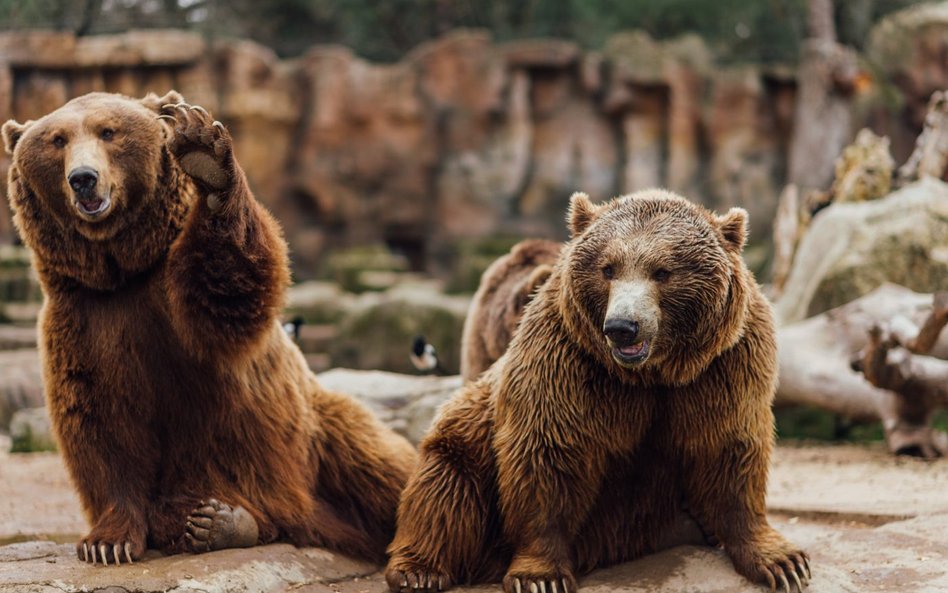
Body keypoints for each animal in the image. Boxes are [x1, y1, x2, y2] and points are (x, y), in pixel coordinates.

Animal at [0, 91, 414, 564]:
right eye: (57, 140)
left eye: (108, 131)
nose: (83, 179)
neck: (124, 272)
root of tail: (304, 520)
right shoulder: (84, 322)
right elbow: (102, 424)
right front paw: (108, 542)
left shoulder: (179, 302)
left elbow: (229, 287)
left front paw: (204, 154)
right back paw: (218, 522)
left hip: (319, 433)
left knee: (380, 467)